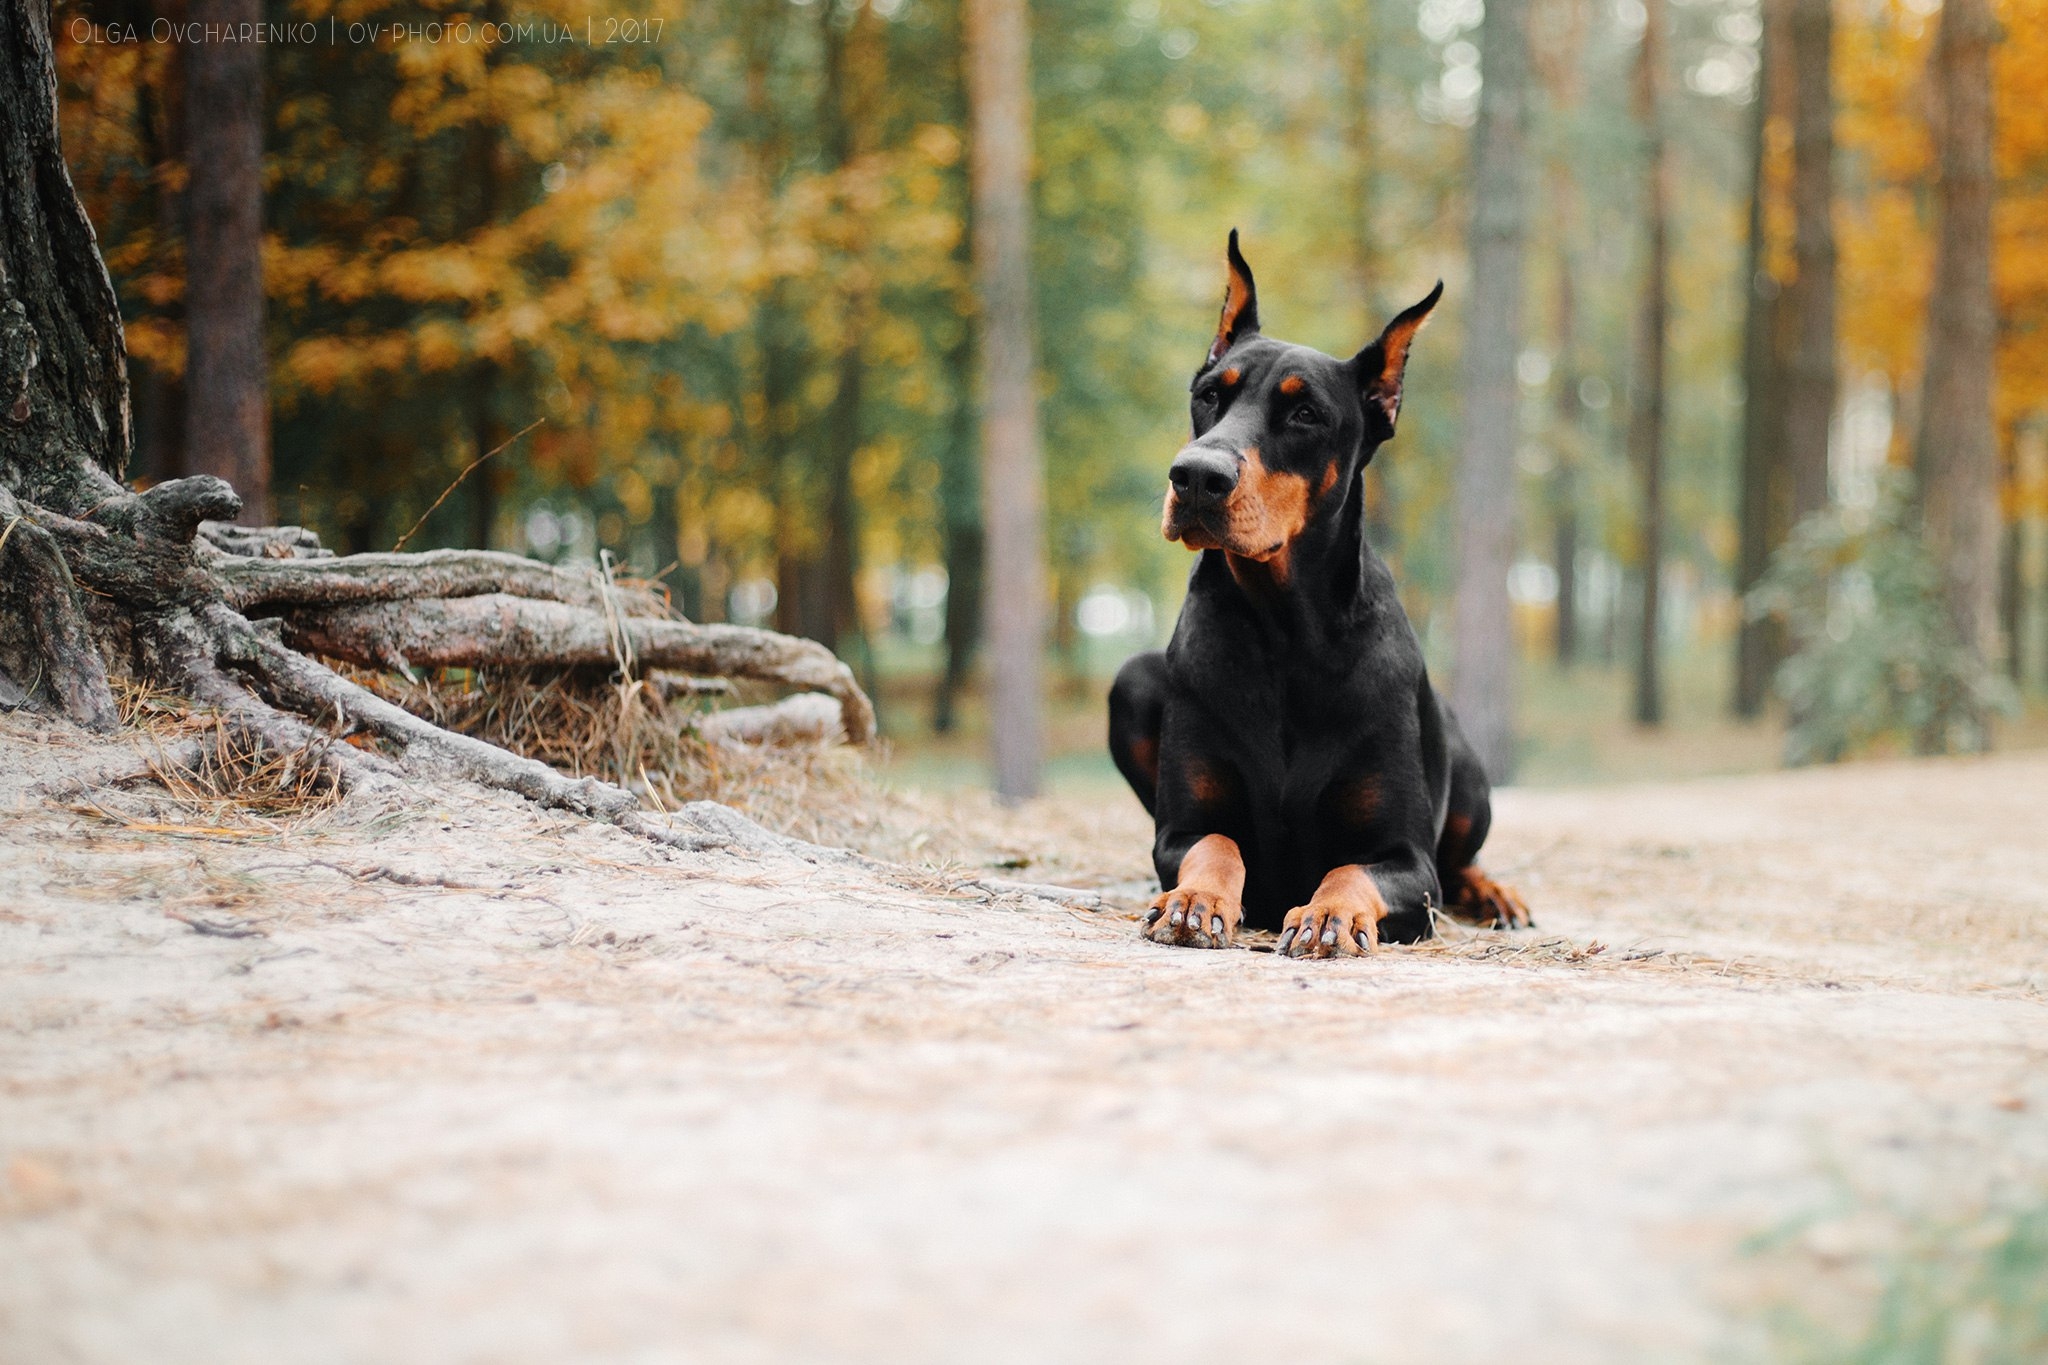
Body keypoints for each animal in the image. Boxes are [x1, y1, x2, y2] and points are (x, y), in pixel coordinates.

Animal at [1114, 232, 1531, 961]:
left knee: (1462, 861)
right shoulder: (1177, 832)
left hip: (1468, 775)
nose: (1194, 475)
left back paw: (1494, 893)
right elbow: (1214, 843)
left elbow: (1352, 870)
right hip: (1132, 681)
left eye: (1306, 414)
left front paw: (1329, 915)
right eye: (1208, 395)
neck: (1285, 630)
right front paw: (1195, 900)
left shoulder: (1405, 859)